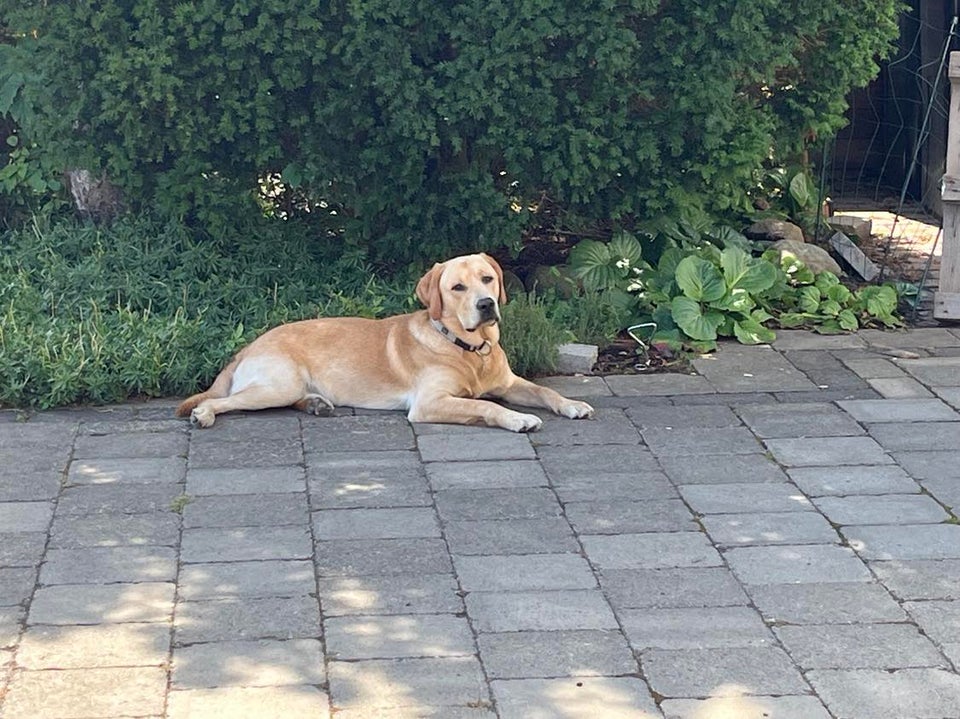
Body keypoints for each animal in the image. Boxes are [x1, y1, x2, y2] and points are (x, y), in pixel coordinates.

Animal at [174, 253, 592, 434]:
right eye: (457, 287)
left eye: (488, 278)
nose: (486, 304)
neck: (467, 348)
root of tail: (248, 345)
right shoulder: (429, 403)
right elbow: (486, 407)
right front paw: (519, 419)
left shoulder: (509, 382)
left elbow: (544, 391)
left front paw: (572, 405)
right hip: (278, 383)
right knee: (222, 400)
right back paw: (204, 414)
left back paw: (318, 405)